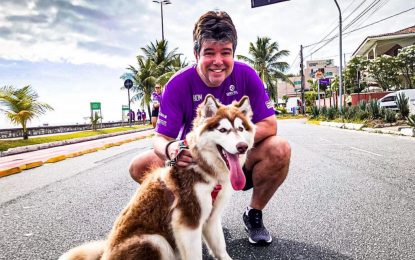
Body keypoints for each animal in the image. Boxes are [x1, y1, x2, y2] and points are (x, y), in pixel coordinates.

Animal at [59, 95, 256, 260]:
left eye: (240, 128)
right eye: (223, 130)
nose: (242, 147)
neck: (204, 166)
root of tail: (105, 255)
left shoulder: (211, 218)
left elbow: (220, 248)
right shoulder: (187, 223)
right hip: (155, 240)